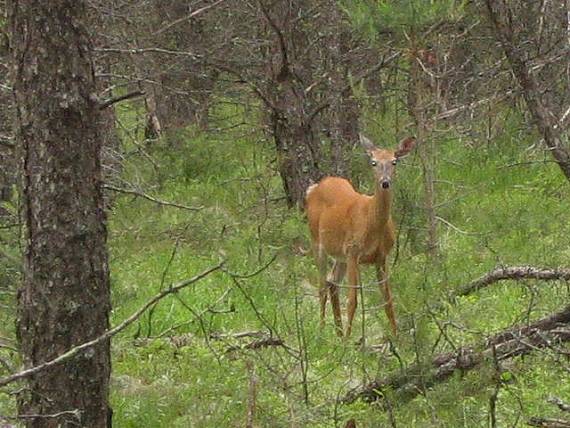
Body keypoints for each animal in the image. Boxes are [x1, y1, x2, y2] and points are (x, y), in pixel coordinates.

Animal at [304, 135, 414, 336]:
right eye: (373, 162)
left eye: (394, 162)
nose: (385, 182)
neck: (371, 222)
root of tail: (314, 188)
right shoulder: (353, 251)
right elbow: (352, 301)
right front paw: (349, 340)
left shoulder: (381, 256)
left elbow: (388, 301)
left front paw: (397, 338)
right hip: (317, 241)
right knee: (322, 287)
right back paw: (322, 331)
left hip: (340, 253)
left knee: (332, 282)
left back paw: (338, 333)